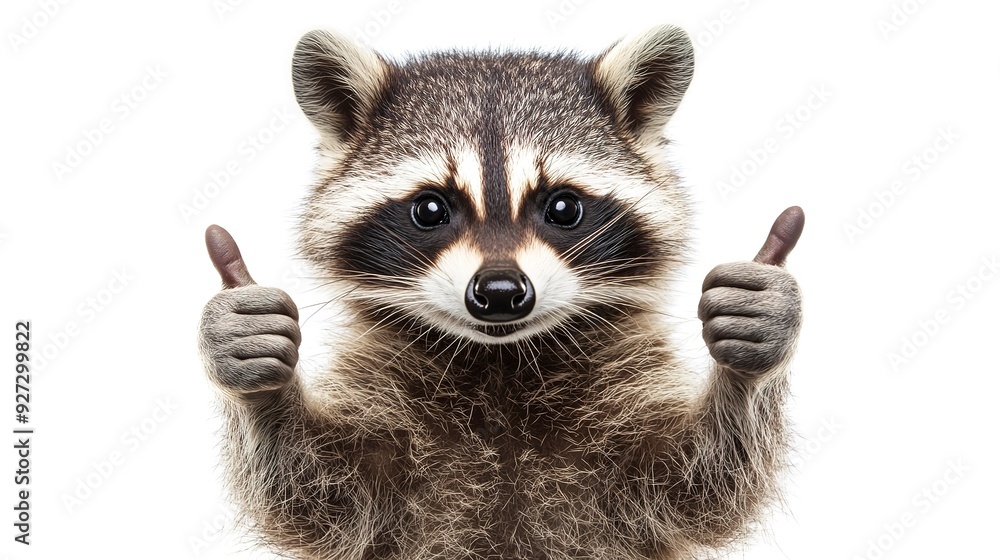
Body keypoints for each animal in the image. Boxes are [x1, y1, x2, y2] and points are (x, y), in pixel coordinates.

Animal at [199, 25, 804, 560]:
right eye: (430, 209)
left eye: (563, 207)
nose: (498, 291)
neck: (501, 360)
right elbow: (317, 493)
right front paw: (262, 390)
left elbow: (699, 483)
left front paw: (747, 368)